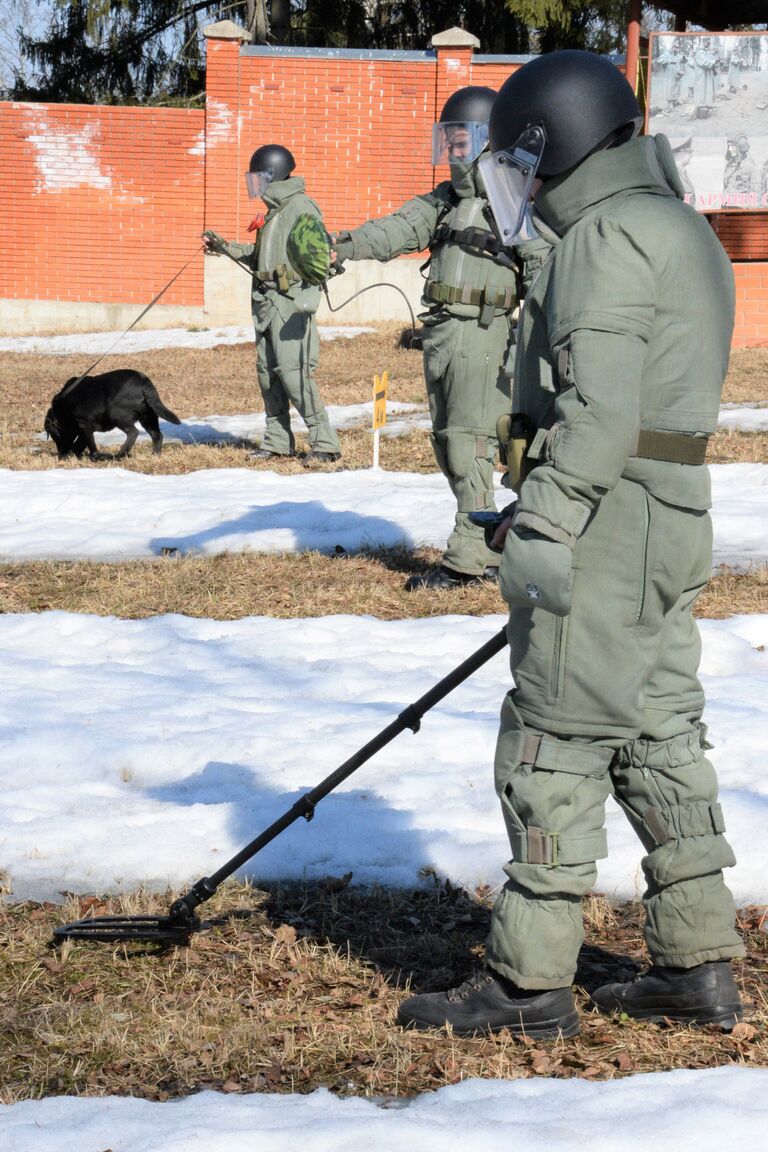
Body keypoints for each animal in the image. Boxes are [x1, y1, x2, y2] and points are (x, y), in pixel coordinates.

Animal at [44, 368, 181, 458]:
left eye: (54, 435)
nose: (60, 457)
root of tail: (144, 383)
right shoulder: (85, 428)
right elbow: (79, 444)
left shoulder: (83, 424)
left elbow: (90, 445)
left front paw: (94, 457)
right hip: (148, 416)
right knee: (157, 436)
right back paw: (154, 456)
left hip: (116, 414)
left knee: (133, 432)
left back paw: (119, 454)